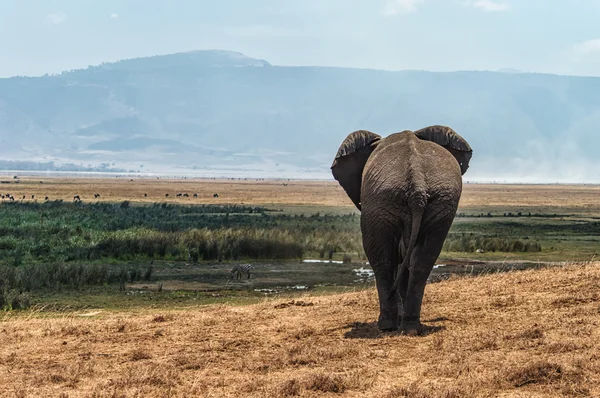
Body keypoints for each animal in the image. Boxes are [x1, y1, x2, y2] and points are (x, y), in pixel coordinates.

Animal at [328, 126, 474, 334]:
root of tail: (418, 186)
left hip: (381, 200)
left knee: (382, 260)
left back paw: (387, 325)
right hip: (443, 201)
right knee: (423, 260)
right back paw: (411, 327)